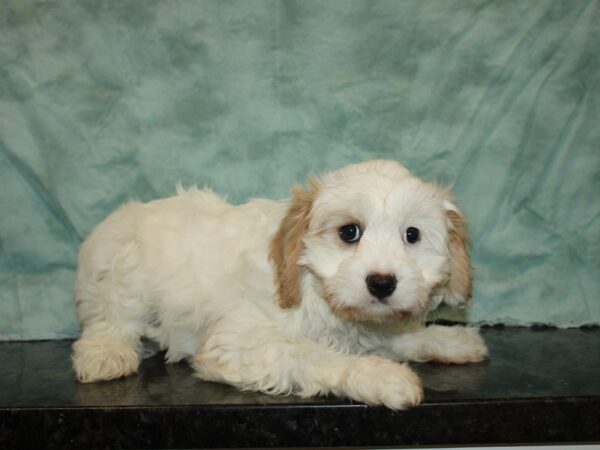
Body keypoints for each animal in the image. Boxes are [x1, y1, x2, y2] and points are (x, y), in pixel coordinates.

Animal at [74, 160, 488, 410]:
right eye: (349, 232)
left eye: (412, 235)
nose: (382, 283)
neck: (312, 287)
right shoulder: (240, 344)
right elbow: (312, 355)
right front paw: (377, 375)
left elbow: (399, 338)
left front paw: (449, 340)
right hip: (123, 273)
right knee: (110, 319)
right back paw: (106, 353)